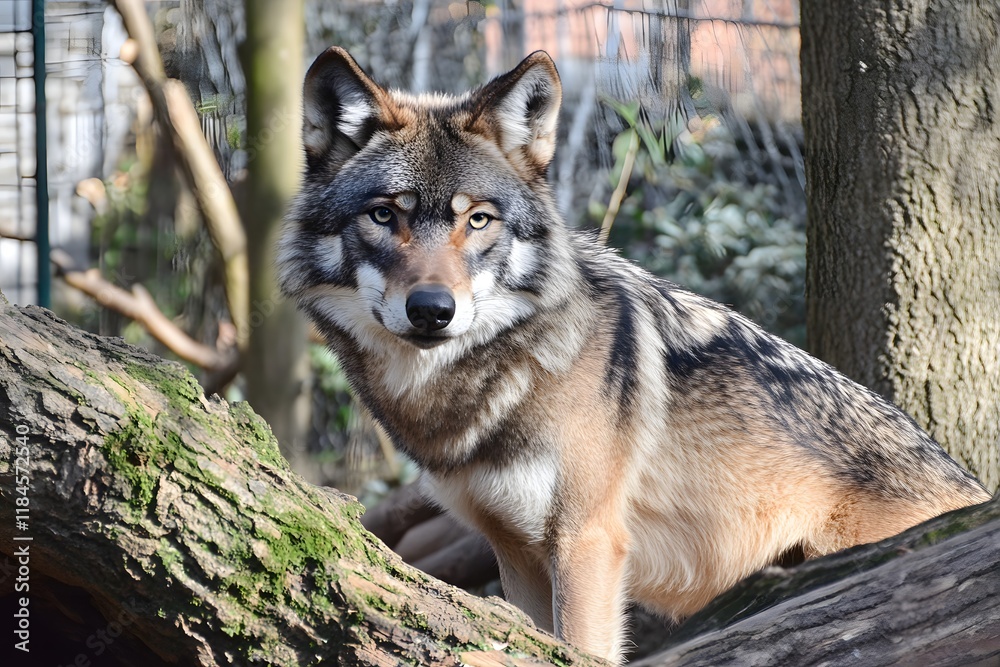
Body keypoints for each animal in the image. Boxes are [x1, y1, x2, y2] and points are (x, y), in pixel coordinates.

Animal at [277, 47, 991, 662]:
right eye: (383, 216)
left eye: (477, 220)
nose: (432, 310)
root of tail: (977, 492)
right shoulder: (517, 556)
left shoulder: (585, 543)